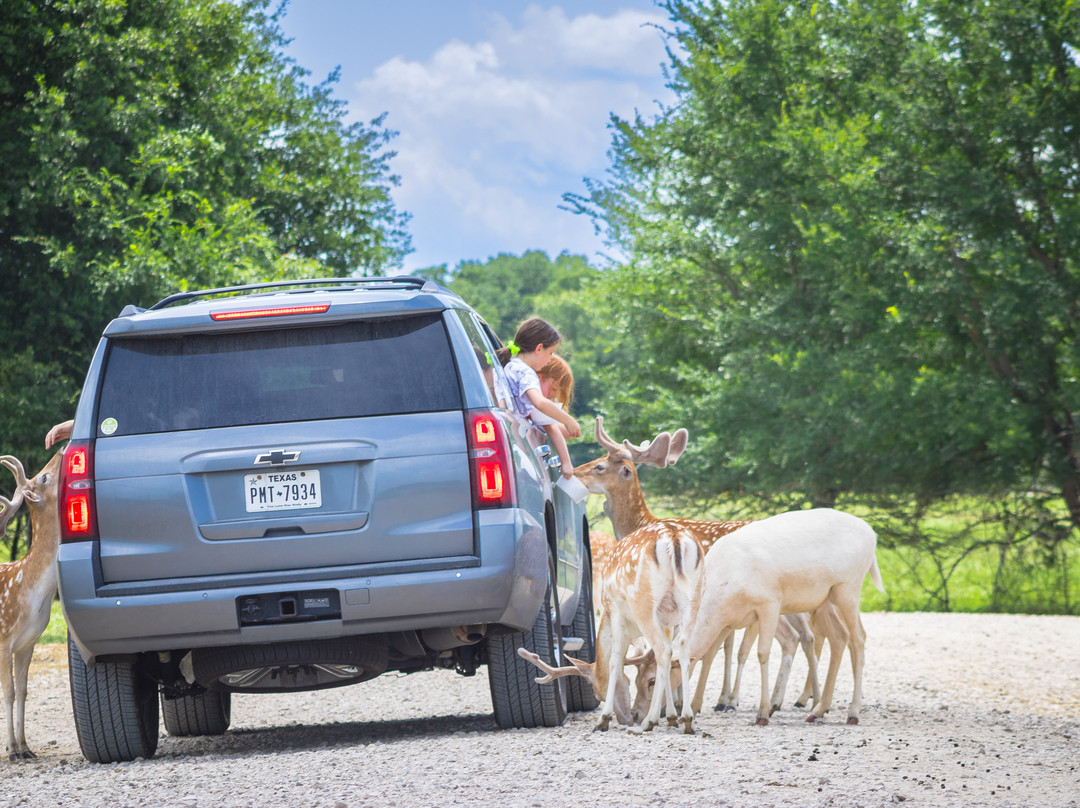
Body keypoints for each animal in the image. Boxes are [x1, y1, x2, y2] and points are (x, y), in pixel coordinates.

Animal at [516, 520, 704, 734]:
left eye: (598, 694)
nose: (627, 719)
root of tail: (674, 537)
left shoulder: (615, 612)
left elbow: (614, 660)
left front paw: (603, 719)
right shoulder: (667, 621)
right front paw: (672, 717)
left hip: (643, 603)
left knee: (663, 650)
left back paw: (650, 721)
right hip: (692, 599)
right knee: (682, 648)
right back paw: (687, 719)